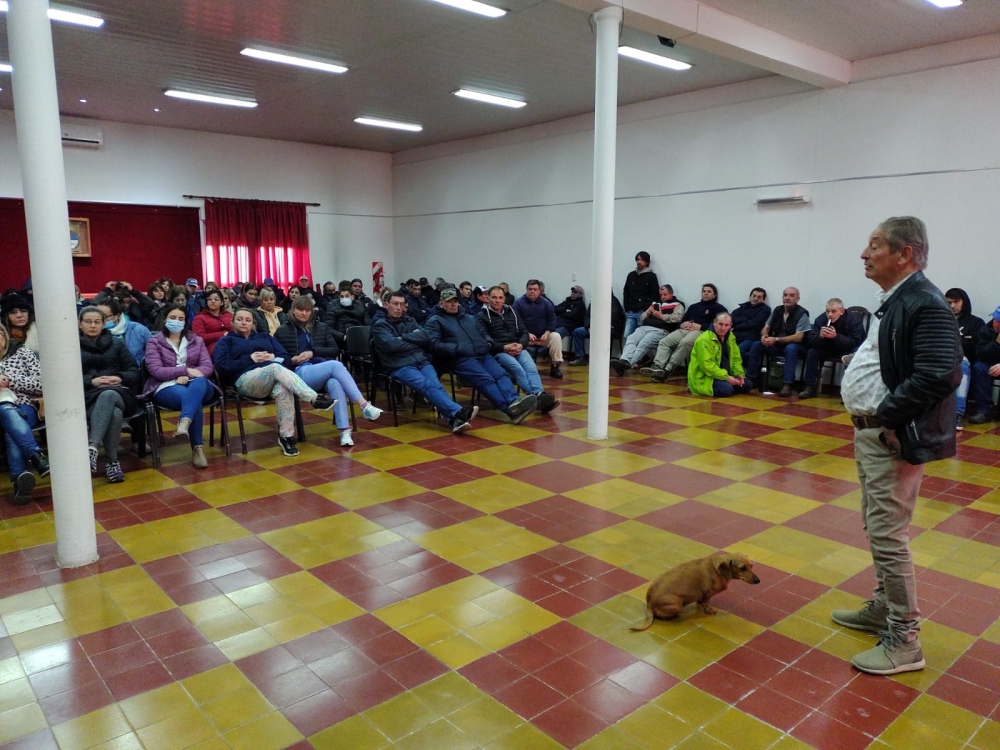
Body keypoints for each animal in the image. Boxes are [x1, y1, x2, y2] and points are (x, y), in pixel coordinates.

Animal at [628, 556, 760, 632]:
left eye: (751, 566)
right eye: (742, 568)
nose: (758, 581)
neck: (719, 569)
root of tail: (649, 603)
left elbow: (700, 600)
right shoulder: (709, 593)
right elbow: (706, 603)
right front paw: (709, 610)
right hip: (677, 605)